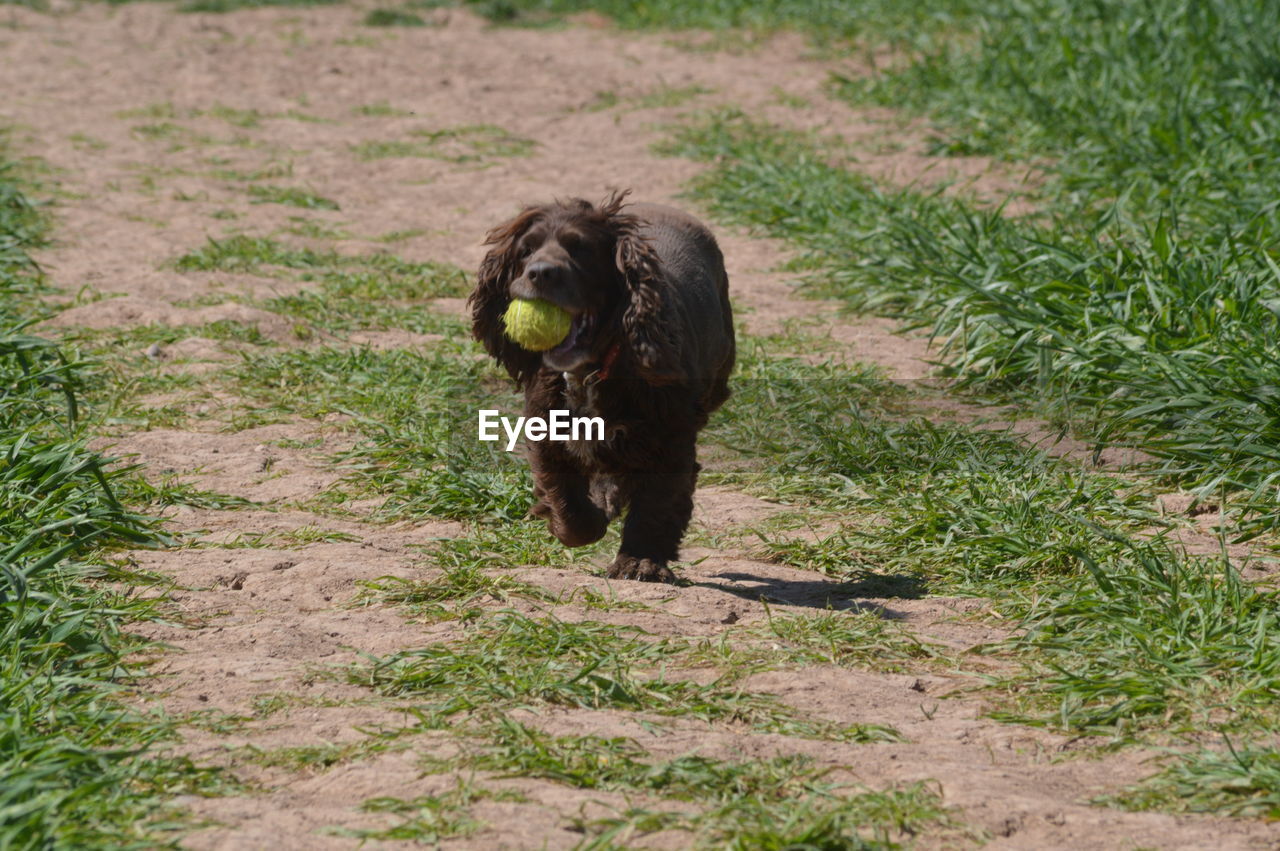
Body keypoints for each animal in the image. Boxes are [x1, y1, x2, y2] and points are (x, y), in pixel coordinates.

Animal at [471, 189, 737, 580]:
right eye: (526, 250)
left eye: (580, 249)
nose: (539, 273)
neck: (588, 373)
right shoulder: (546, 434)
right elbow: (566, 502)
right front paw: (584, 519)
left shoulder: (670, 439)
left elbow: (657, 504)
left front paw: (640, 560)